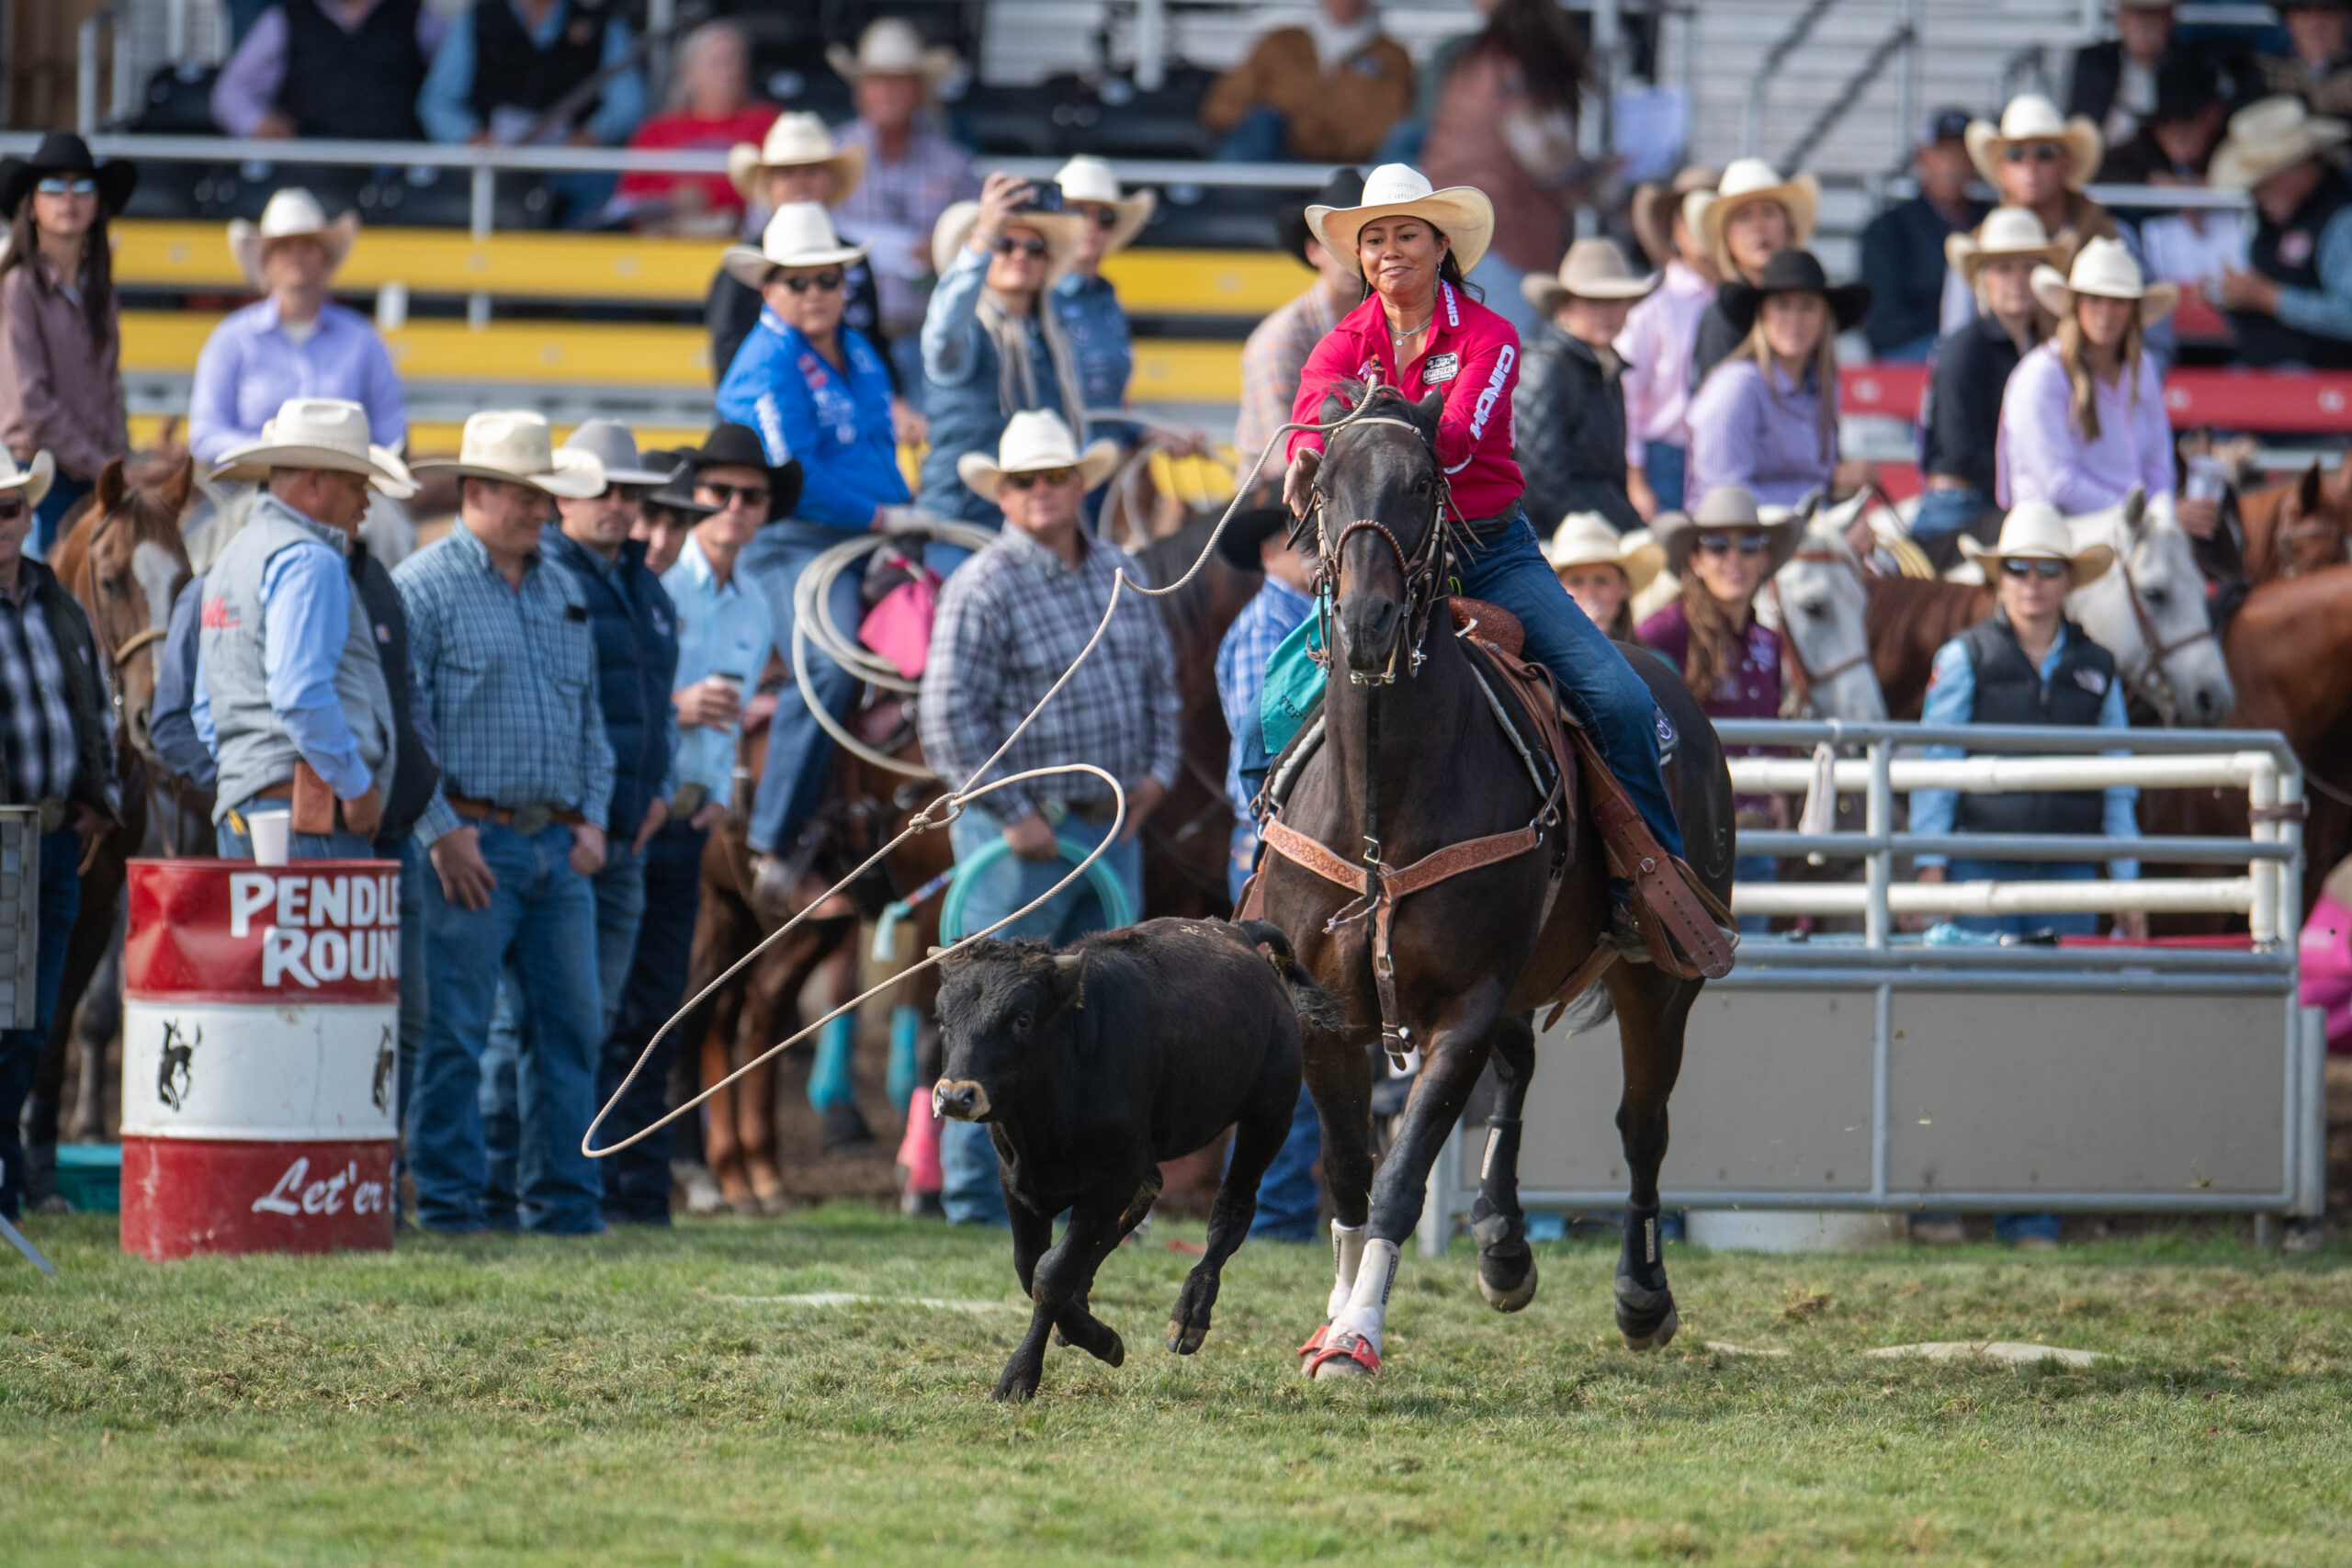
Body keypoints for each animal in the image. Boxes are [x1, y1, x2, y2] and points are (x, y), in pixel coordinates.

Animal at [933, 917, 1327, 1401]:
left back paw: (1190, 1315)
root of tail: (1235, 930)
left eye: (1021, 1019)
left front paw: (1022, 1374)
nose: (955, 1096)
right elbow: (1032, 1268)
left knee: (1232, 1211)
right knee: (1146, 1196)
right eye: (943, 1019)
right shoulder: (1016, 1178)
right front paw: (1092, 1333)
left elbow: (1050, 1274)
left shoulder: (1111, 1177)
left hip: (1269, 1115)